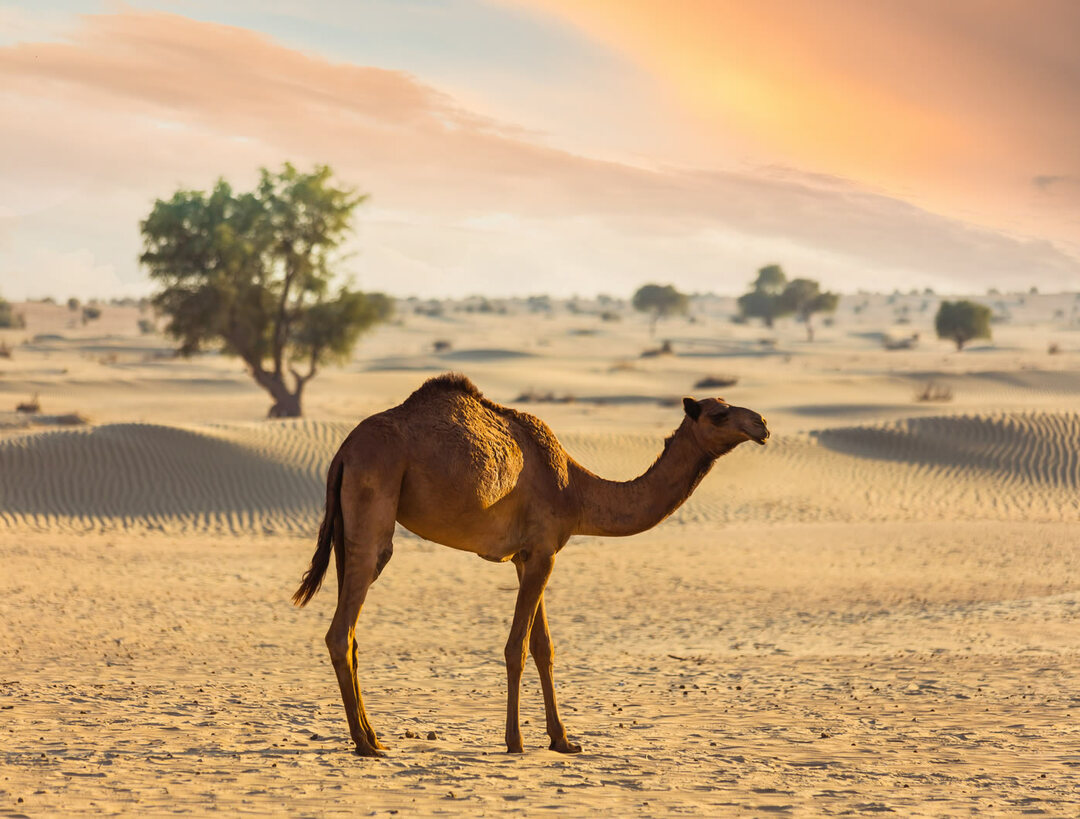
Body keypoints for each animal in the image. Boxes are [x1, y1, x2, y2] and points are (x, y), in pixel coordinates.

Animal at [293, 373, 768, 756]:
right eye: (719, 414)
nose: (761, 424)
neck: (574, 489)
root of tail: (343, 452)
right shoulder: (544, 550)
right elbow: (517, 647)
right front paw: (516, 741)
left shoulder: (526, 555)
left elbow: (544, 647)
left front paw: (563, 740)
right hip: (374, 506)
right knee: (341, 630)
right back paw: (365, 743)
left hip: (347, 530)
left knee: (351, 632)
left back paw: (373, 736)